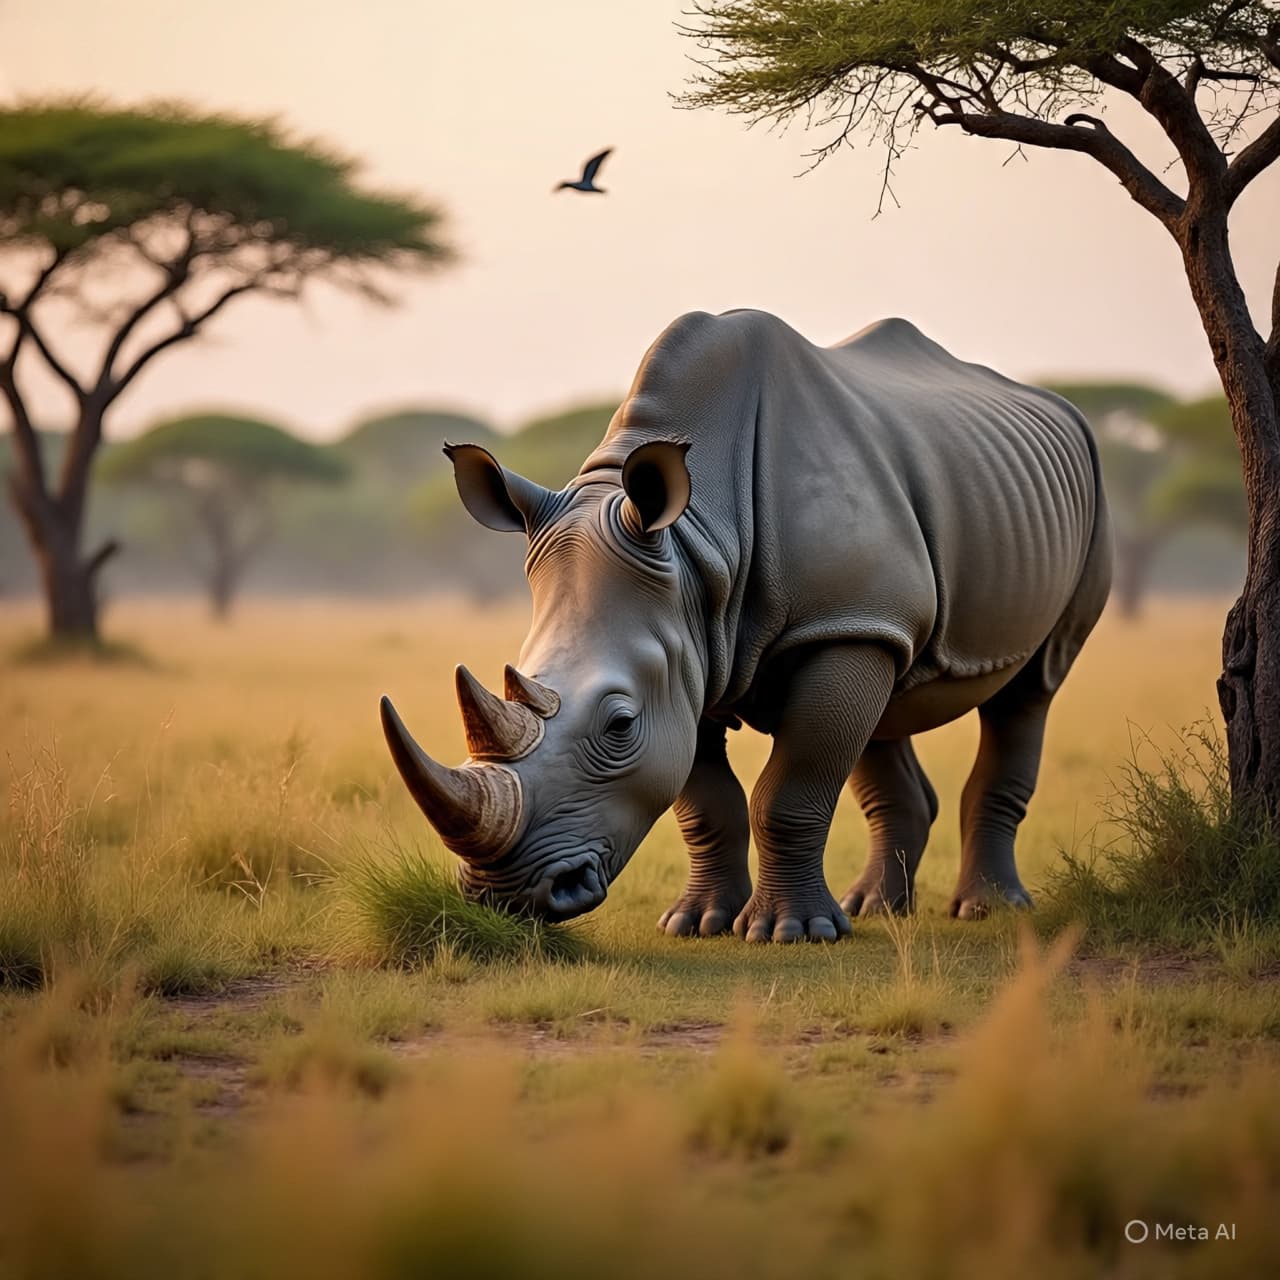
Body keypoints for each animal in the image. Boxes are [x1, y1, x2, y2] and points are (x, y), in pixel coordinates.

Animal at [381, 310, 1111, 942]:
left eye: (619, 725)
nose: (507, 897)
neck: (696, 544)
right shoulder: (690, 645)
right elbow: (706, 799)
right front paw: (697, 923)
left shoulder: (821, 625)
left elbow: (788, 790)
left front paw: (792, 933)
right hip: (896, 588)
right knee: (889, 688)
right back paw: (876, 909)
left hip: (1076, 501)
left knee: (1031, 689)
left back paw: (988, 910)